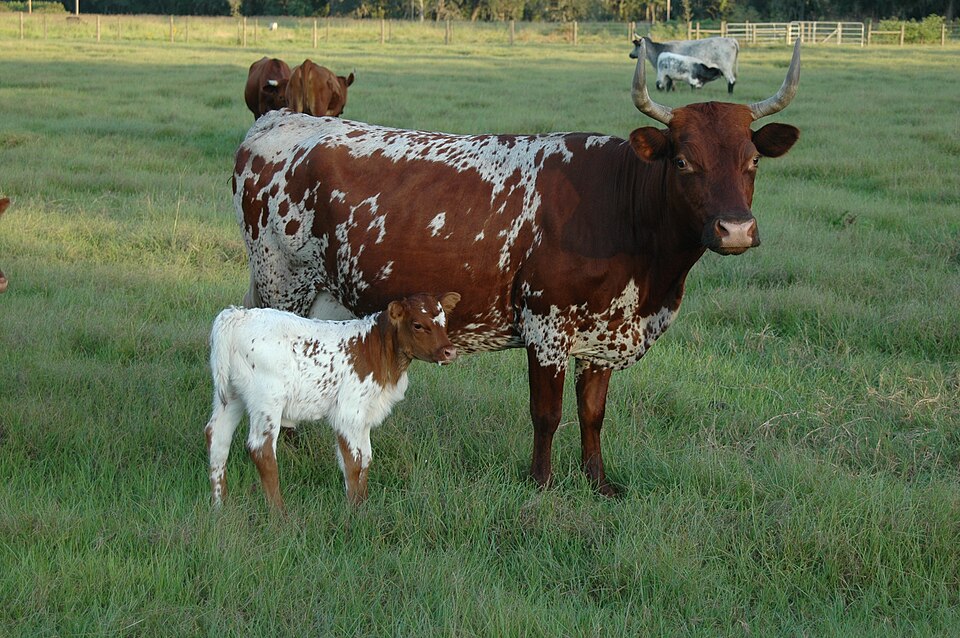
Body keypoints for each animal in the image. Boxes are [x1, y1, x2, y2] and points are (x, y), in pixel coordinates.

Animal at [205, 292, 461, 511]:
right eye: (417, 324)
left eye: (444, 321)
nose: (449, 352)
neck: (377, 350)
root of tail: (238, 315)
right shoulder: (349, 412)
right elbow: (353, 461)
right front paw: (353, 511)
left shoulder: (364, 414)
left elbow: (366, 458)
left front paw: (362, 504)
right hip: (267, 399)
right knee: (261, 450)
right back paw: (279, 514)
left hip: (231, 395)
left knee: (217, 437)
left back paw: (219, 506)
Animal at [232, 40, 801, 497]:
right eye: (682, 161)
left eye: (753, 160)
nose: (735, 230)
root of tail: (277, 121)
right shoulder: (547, 327)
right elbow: (546, 414)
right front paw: (541, 482)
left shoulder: (605, 331)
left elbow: (592, 414)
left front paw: (598, 482)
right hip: (280, 282)